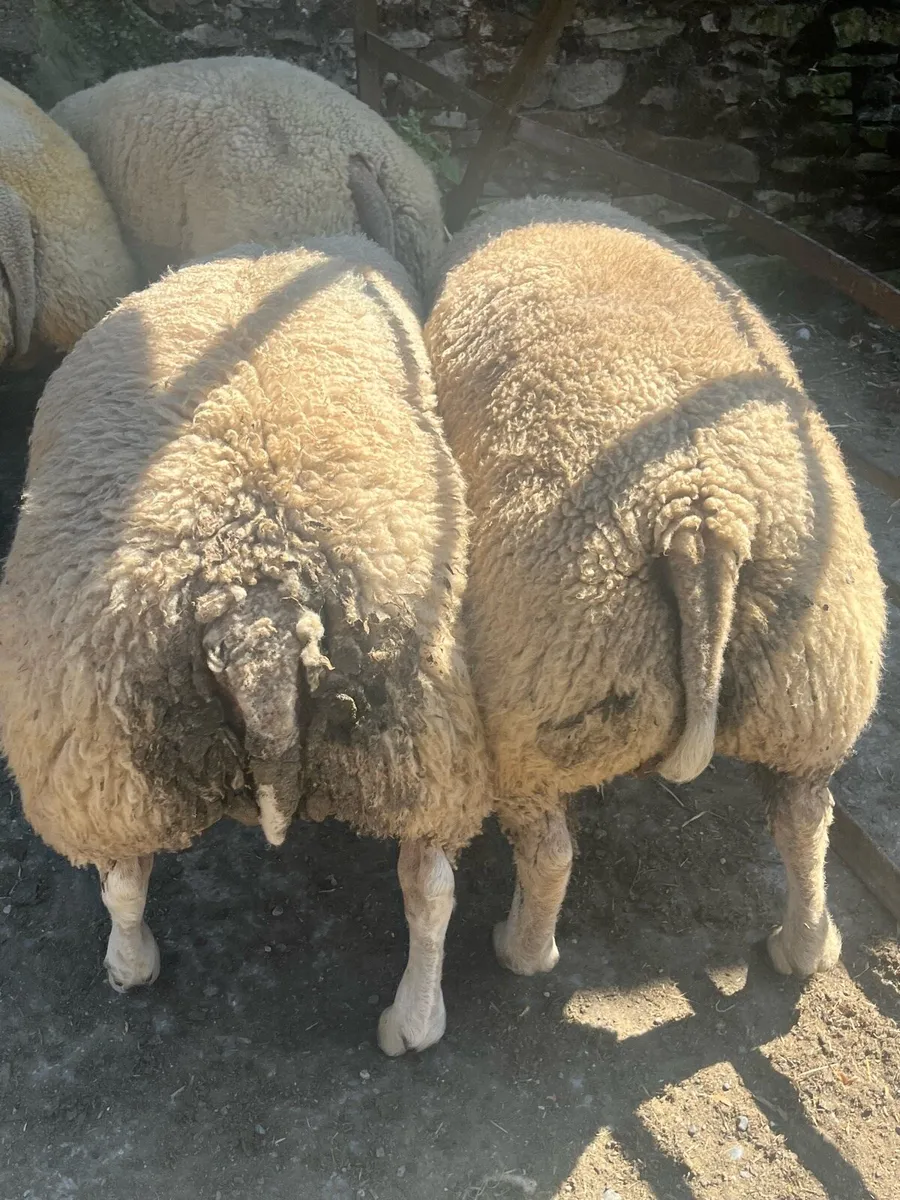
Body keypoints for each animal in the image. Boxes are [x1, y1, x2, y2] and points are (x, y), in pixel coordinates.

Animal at [0, 233, 490, 1056]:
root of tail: (257, 614)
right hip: (420, 740)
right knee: (431, 887)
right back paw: (416, 1022)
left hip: (99, 766)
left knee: (122, 879)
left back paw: (130, 965)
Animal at [424, 196, 886, 982]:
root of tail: (703, 519)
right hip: (813, 698)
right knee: (805, 823)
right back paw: (804, 948)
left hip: (541, 710)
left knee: (550, 853)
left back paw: (522, 950)